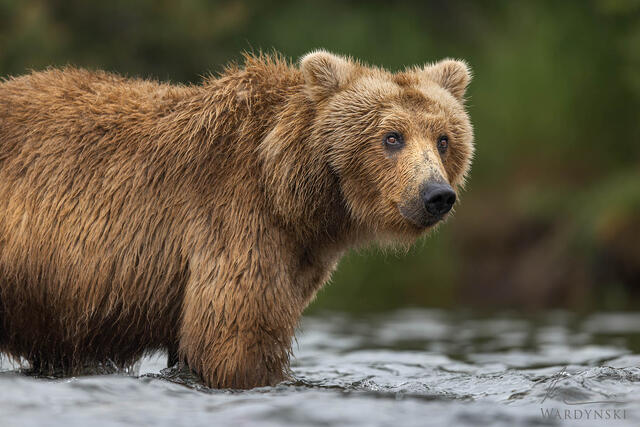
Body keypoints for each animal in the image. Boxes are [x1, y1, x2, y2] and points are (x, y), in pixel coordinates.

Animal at [0, 50, 474, 389]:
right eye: (392, 137)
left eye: (444, 139)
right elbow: (236, 339)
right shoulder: (234, 220)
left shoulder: (297, 255)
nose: (436, 195)